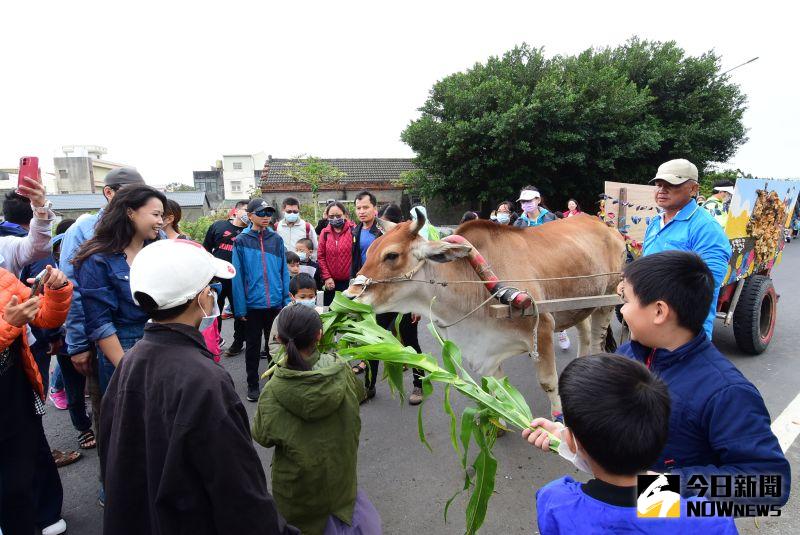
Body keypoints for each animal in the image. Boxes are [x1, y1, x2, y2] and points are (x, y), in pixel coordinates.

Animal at [344, 211, 624, 416]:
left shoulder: (542, 327)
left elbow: (547, 381)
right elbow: (499, 389)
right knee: (584, 334)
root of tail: (604, 225)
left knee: (597, 339)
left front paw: (558, 420)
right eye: (368, 251)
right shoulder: (487, 349)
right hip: (577, 304)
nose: (348, 297)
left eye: (392, 255)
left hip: (608, 299)